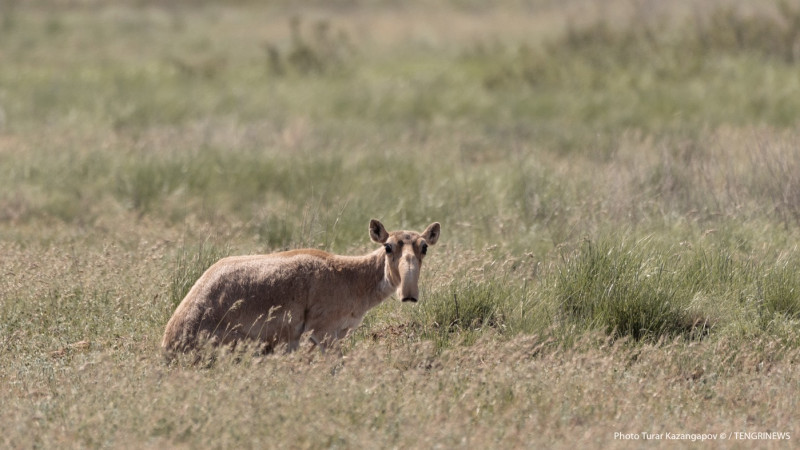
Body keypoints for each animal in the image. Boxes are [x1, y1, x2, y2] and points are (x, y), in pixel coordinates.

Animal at [160, 219, 440, 356]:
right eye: (388, 246)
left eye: (424, 247)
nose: (408, 295)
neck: (351, 277)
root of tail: (170, 341)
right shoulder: (322, 333)